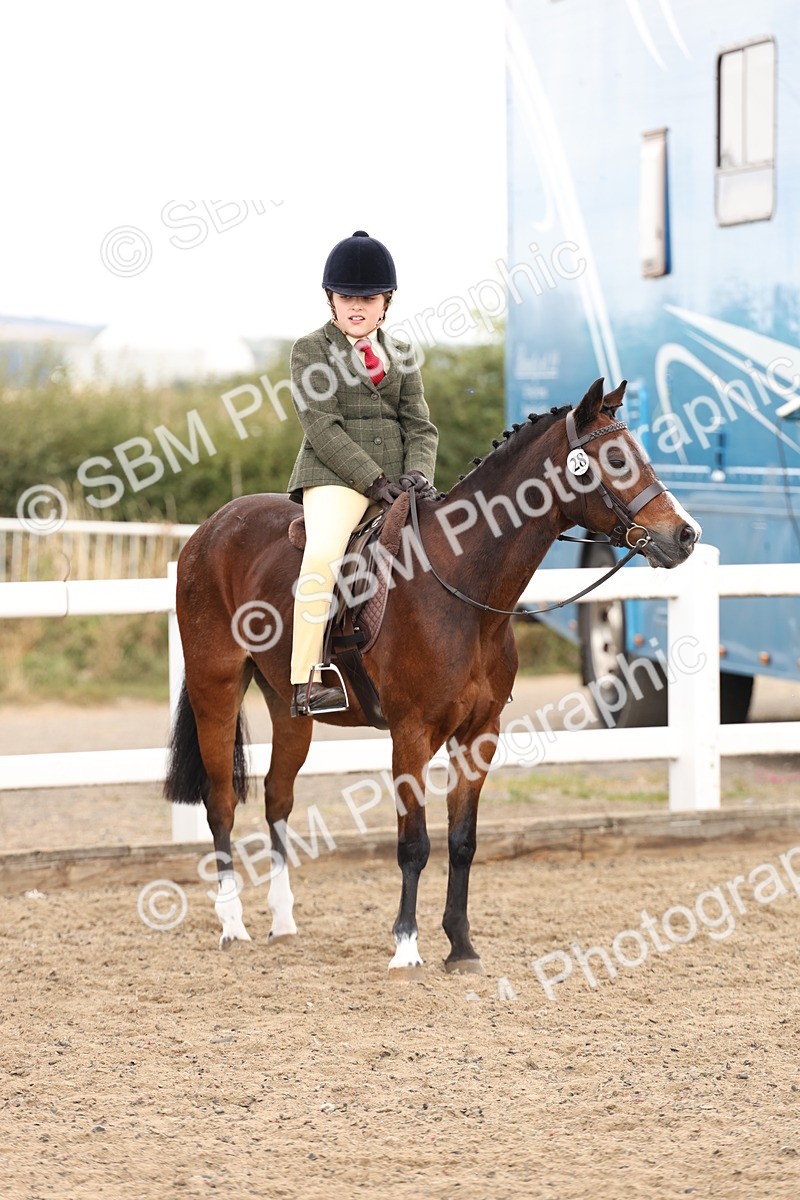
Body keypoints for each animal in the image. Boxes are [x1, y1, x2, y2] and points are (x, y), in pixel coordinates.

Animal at [164, 378, 700, 973]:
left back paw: (282, 923)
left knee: (278, 799)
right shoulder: (412, 733)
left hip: (288, 706)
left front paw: (461, 946)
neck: (464, 584)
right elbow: (414, 844)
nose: (685, 535)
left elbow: (462, 841)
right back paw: (232, 924)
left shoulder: (479, 735)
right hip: (216, 689)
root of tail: (208, 530)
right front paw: (406, 946)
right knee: (221, 802)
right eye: (615, 458)